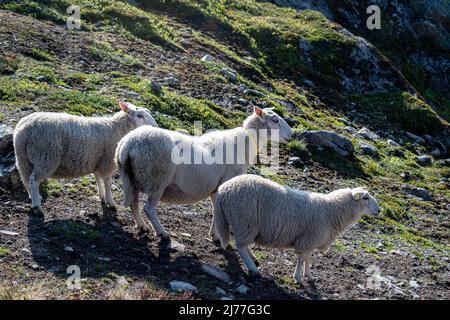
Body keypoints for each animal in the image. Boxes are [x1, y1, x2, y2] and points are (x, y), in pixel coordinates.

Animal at [13, 101, 157, 215]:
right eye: (139, 116)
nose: (155, 127)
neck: (116, 128)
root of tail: (22, 131)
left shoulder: (97, 162)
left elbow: (98, 180)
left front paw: (102, 197)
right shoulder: (107, 162)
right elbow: (108, 182)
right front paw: (111, 202)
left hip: (23, 159)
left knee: (26, 180)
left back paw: (35, 197)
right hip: (45, 156)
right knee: (33, 180)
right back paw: (37, 207)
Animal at [114, 106, 294, 239]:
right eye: (275, 120)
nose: (292, 136)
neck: (247, 141)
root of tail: (129, 144)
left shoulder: (216, 188)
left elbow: (216, 210)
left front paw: (214, 235)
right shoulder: (226, 182)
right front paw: (219, 237)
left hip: (130, 177)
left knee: (134, 203)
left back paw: (142, 226)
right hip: (158, 180)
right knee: (149, 209)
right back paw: (162, 233)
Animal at [213, 175, 382, 284]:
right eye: (365, 198)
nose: (379, 210)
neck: (330, 211)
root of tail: (224, 189)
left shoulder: (310, 240)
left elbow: (308, 258)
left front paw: (309, 276)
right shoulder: (306, 239)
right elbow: (301, 259)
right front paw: (299, 278)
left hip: (245, 225)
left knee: (243, 244)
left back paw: (253, 259)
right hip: (245, 220)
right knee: (240, 246)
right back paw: (253, 269)